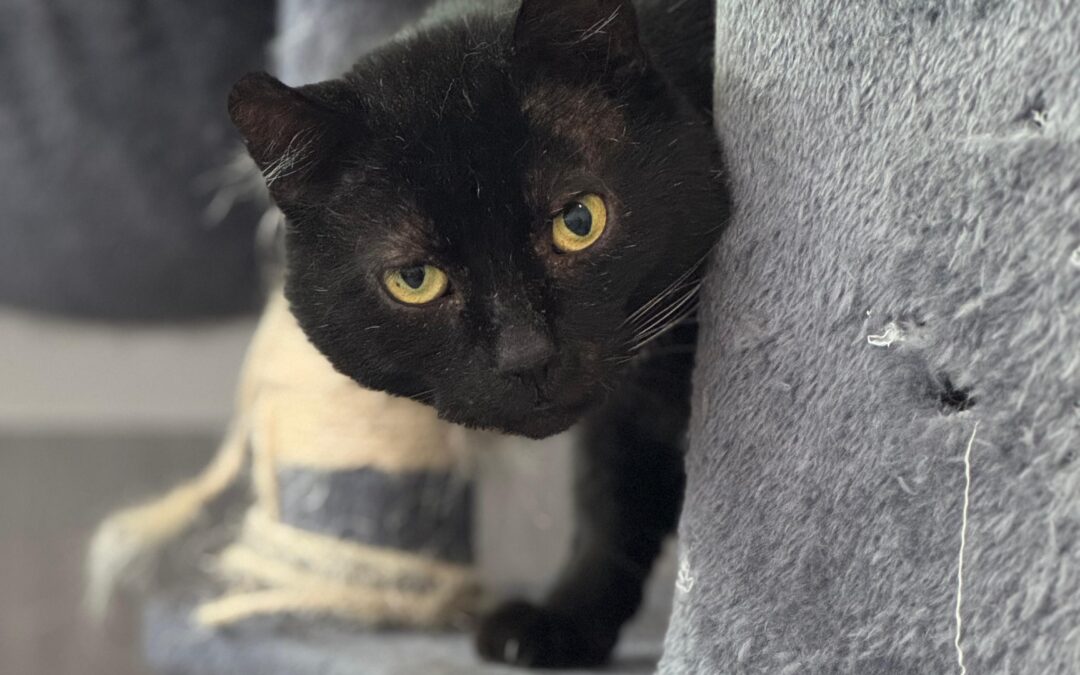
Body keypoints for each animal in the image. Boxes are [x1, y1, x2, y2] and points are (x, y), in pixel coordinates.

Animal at [228, 0, 726, 667]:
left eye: (579, 220)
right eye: (414, 279)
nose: (527, 355)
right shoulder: (627, 413)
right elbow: (612, 506)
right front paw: (559, 624)